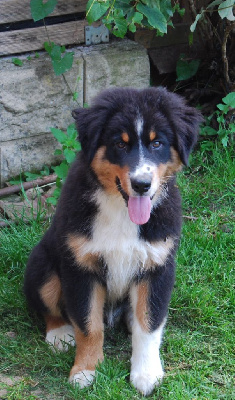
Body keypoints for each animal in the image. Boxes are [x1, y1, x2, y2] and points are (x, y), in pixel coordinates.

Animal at [24, 86, 203, 394]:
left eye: (157, 144)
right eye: (120, 144)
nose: (142, 184)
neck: (121, 210)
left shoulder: (157, 266)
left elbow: (149, 323)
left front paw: (146, 373)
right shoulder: (81, 267)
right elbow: (88, 325)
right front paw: (85, 371)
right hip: (42, 263)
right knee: (48, 306)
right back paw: (59, 334)